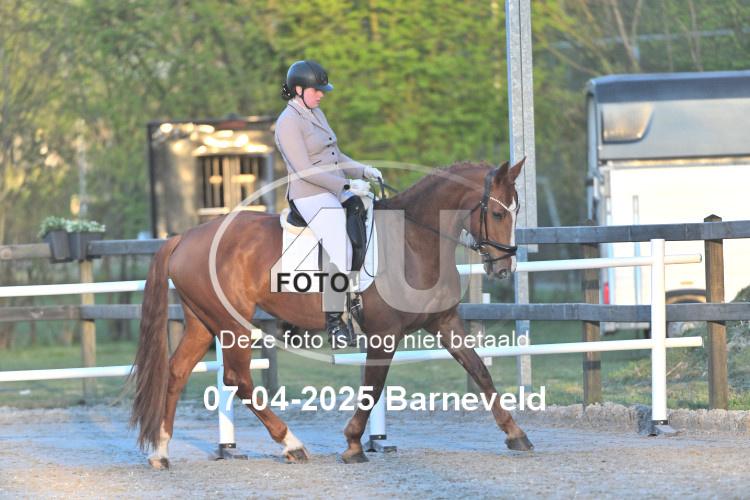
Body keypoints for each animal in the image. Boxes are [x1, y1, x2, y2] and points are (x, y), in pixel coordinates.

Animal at [129, 158, 533, 469]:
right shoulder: (384, 334)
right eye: (498, 212)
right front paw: (354, 444)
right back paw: (291, 444)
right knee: (238, 379)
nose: (504, 268)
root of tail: (185, 237)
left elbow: (480, 372)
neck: (414, 241)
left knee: (176, 373)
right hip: (233, 325)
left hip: (202, 322)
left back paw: (161, 452)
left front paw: (516, 433)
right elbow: (372, 388)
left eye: (516, 211)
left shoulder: (444, 322)